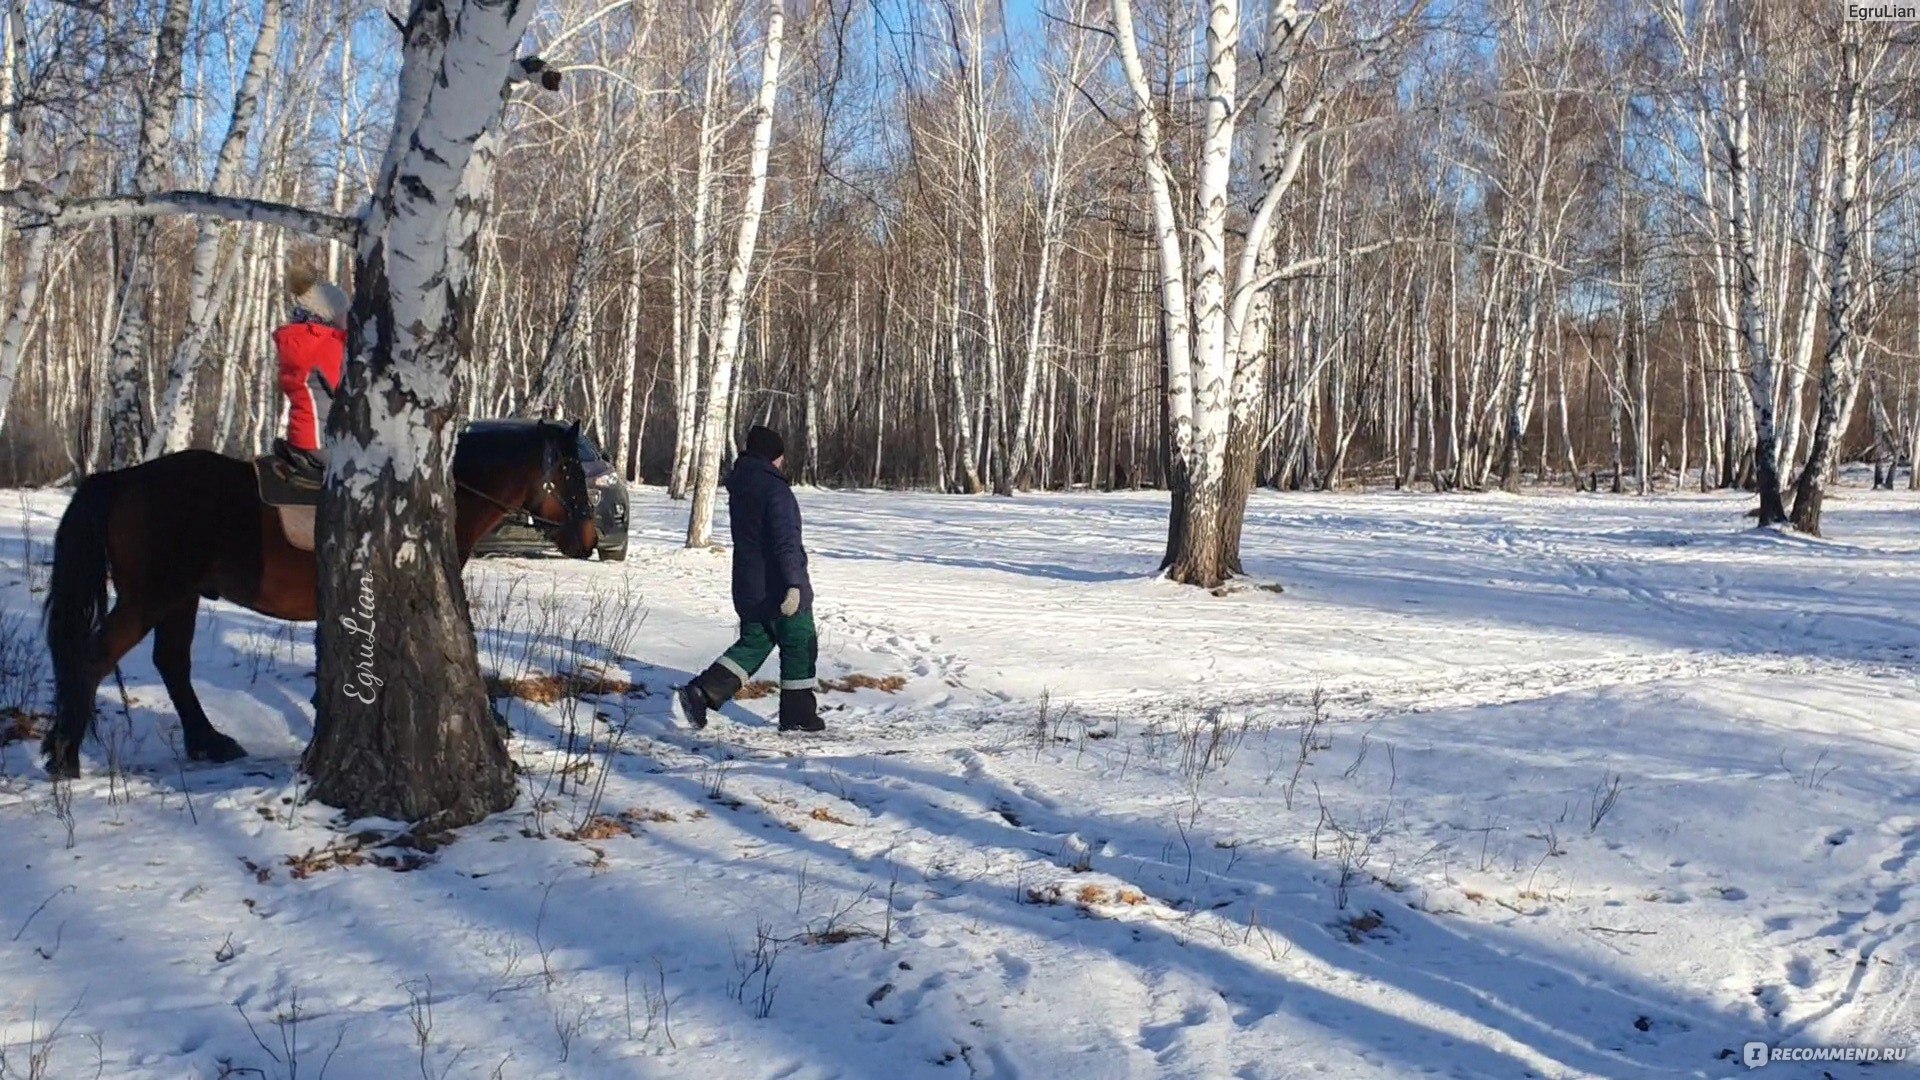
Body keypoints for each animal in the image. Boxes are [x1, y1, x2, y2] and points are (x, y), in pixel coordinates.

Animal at [45, 418, 599, 772]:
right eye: (573, 475)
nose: (590, 538)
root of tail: (122, 479)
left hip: (181, 597)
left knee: (172, 665)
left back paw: (210, 743)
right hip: (152, 596)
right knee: (96, 657)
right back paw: (65, 754)